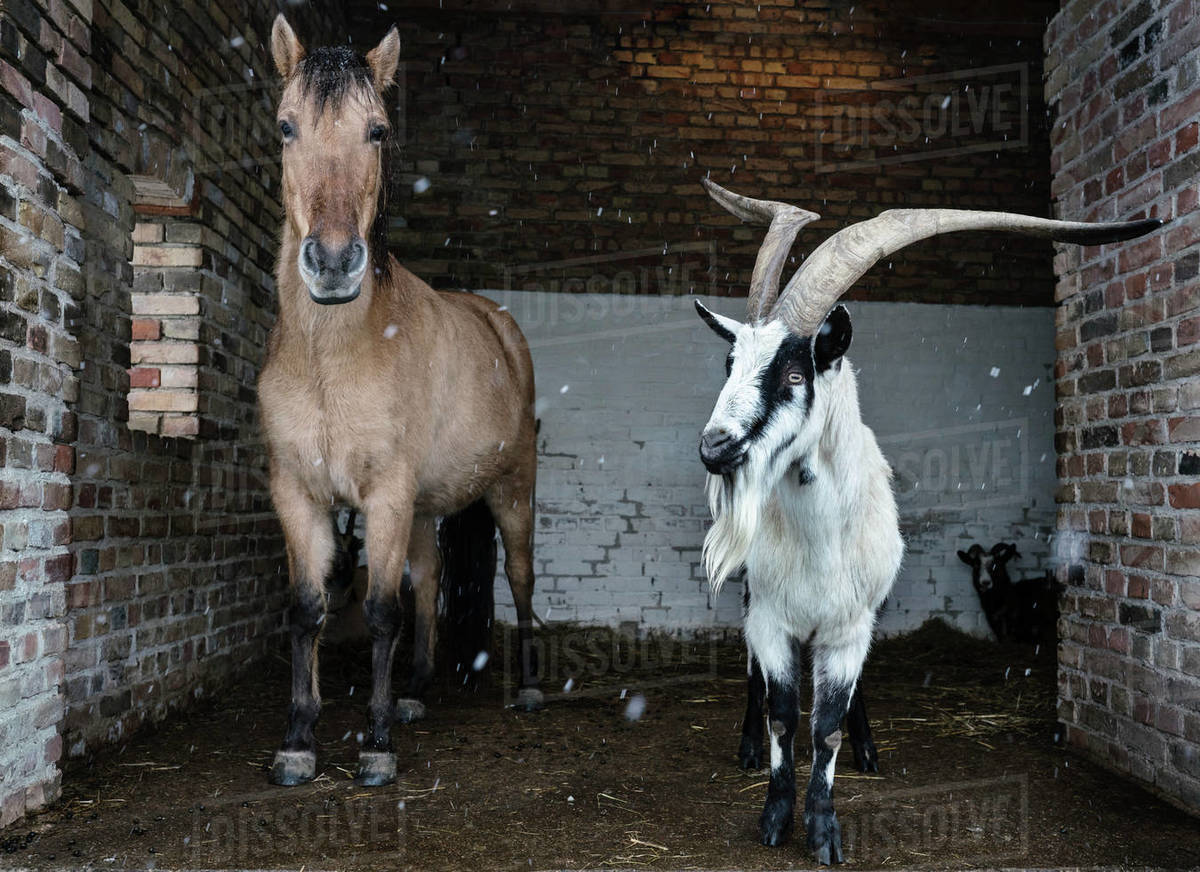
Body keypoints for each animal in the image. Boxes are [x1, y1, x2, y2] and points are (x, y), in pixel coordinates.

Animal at [258, 15, 542, 788]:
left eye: (377, 130)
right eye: (287, 127)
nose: (331, 263)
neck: (332, 357)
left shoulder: (384, 495)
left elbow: (381, 611)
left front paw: (377, 745)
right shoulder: (299, 494)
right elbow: (308, 610)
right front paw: (298, 741)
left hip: (511, 492)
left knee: (520, 576)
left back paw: (530, 687)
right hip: (420, 510)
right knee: (430, 581)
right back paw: (416, 691)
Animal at [693, 179, 1163, 863]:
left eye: (795, 372)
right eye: (729, 364)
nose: (716, 447)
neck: (816, 539)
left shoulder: (851, 623)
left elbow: (826, 727)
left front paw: (826, 831)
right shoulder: (771, 618)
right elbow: (783, 711)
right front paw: (774, 817)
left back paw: (868, 750)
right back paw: (751, 748)